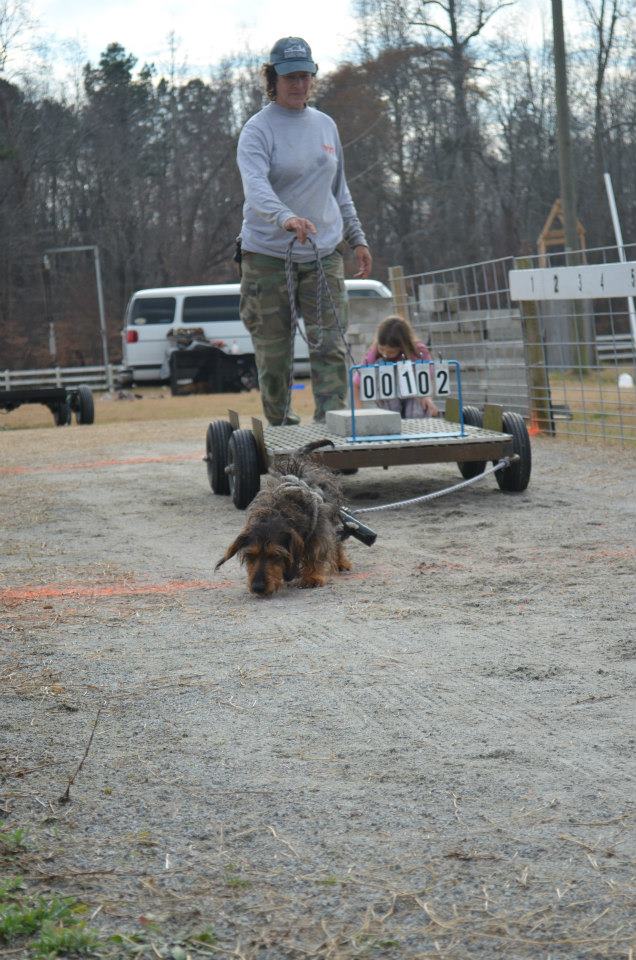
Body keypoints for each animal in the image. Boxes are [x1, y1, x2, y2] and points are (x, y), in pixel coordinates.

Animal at [216, 440, 350, 592]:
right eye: (251, 555)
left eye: (275, 555)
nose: (257, 587)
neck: (278, 511)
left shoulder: (319, 531)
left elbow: (316, 553)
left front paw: (312, 577)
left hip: (332, 517)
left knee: (337, 541)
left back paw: (341, 562)